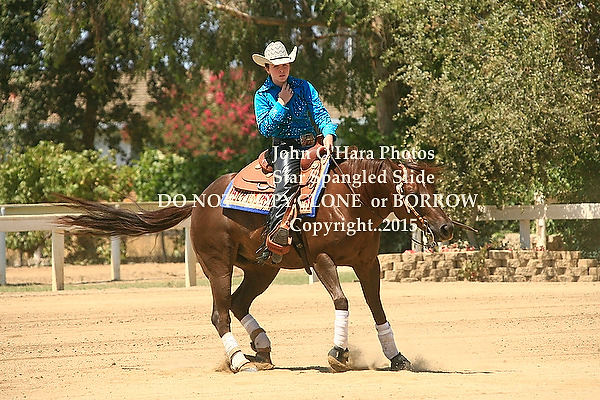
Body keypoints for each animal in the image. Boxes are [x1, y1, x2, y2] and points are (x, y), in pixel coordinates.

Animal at [57, 156, 454, 373]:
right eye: (414, 194)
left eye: (433, 189)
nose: (446, 228)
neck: (349, 199)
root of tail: (199, 202)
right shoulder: (323, 260)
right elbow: (342, 300)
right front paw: (338, 353)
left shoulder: (367, 263)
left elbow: (377, 308)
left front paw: (397, 357)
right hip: (218, 266)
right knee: (220, 314)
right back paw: (238, 360)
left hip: (263, 268)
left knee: (238, 302)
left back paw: (261, 346)